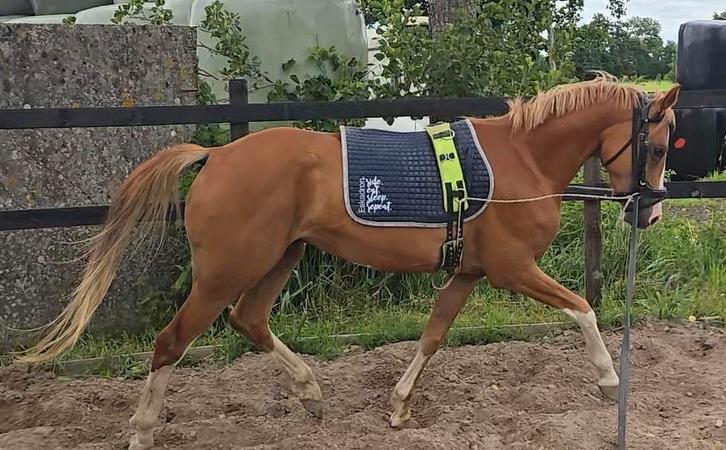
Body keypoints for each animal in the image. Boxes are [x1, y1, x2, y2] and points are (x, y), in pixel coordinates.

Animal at [17, 75, 680, 450]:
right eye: (656, 143)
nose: (648, 214)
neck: (522, 158)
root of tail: (216, 156)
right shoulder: (512, 270)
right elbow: (583, 308)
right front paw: (610, 381)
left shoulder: (466, 273)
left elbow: (434, 334)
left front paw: (398, 405)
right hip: (226, 272)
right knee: (171, 342)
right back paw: (143, 432)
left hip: (279, 258)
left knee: (249, 321)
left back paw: (310, 394)